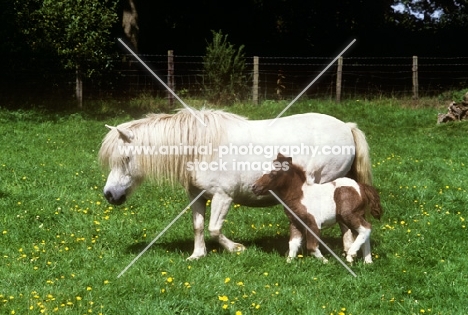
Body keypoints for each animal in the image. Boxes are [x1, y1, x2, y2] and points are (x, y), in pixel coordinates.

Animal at [99, 107, 372, 260]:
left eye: (126, 158)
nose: (110, 195)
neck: (201, 147)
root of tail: (346, 127)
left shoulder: (223, 196)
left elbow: (214, 229)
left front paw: (236, 248)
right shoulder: (197, 196)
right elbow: (199, 226)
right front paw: (197, 255)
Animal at [250, 154, 382, 266]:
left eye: (273, 173)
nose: (254, 187)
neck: (300, 195)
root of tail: (361, 186)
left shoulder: (313, 223)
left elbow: (312, 246)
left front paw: (326, 262)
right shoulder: (295, 223)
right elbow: (293, 244)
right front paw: (288, 263)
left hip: (349, 215)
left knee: (366, 228)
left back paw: (351, 255)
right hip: (354, 216)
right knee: (363, 232)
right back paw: (367, 261)